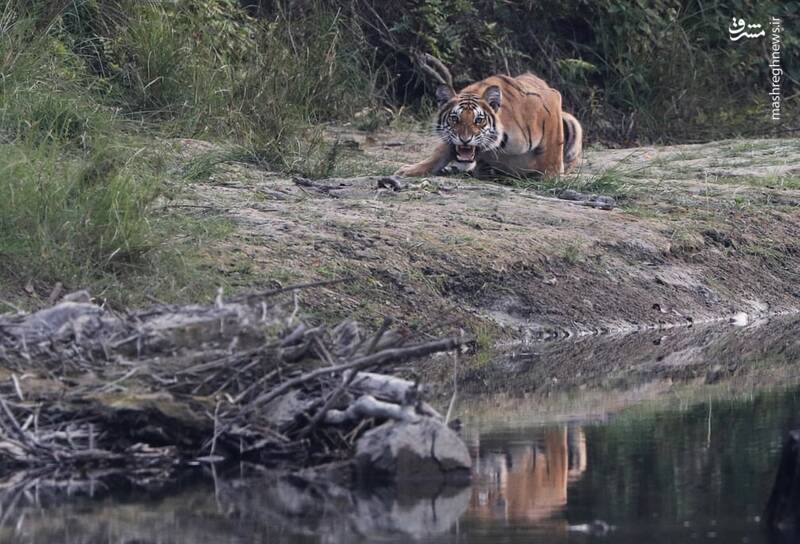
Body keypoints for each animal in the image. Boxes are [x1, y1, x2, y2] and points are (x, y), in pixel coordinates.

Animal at [394, 72, 580, 177]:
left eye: (479, 120)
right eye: (454, 119)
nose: (465, 139)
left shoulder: (551, 100)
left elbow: (553, 148)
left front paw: (551, 176)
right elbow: (439, 152)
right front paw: (410, 170)